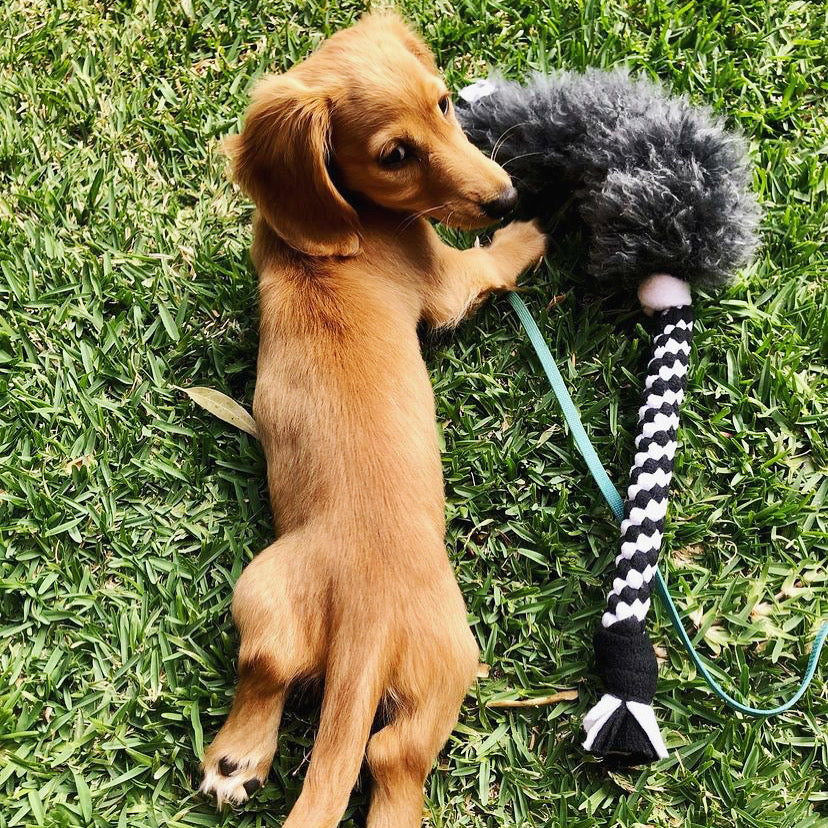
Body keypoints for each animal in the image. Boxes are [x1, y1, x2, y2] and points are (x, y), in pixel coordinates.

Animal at [200, 12, 548, 828]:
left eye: (445, 103)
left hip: (261, 591)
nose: (508, 194)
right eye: (395, 155)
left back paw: (237, 759)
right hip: (449, 663)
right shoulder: (450, 280)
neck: (332, 236)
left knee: (267, 664)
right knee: (394, 760)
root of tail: (366, 619)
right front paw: (537, 228)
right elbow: (496, 261)